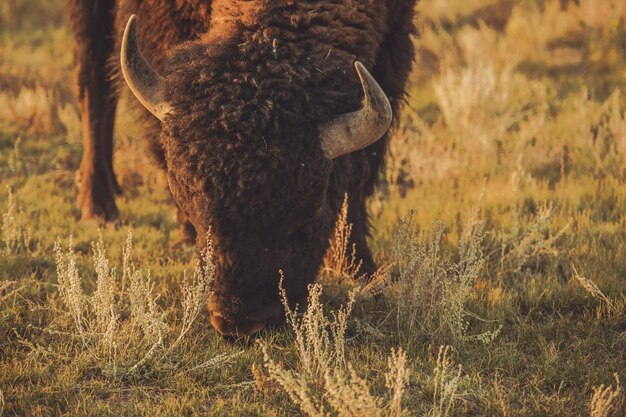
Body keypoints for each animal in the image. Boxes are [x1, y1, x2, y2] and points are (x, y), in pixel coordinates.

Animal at [68, 0, 416, 336]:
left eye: (306, 220)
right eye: (197, 213)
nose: (241, 323)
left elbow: (360, 173)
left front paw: (359, 268)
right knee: (92, 76)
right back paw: (98, 207)